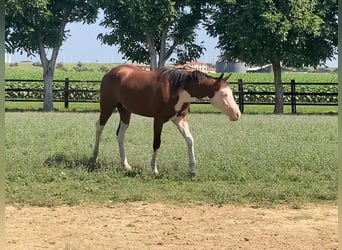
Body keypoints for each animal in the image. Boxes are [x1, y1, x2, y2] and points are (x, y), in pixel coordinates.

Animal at [91, 64, 240, 178]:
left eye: (231, 92)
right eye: (224, 94)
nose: (237, 114)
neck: (177, 89)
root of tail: (111, 72)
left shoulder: (180, 119)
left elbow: (190, 140)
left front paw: (192, 170)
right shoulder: (158, 119)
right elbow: (156, 143)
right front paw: (154, 170)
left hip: (125, 111)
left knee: (120, 134)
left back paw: (125, 165)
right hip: (107, 107)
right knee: (99, 127)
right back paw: (94, 157)